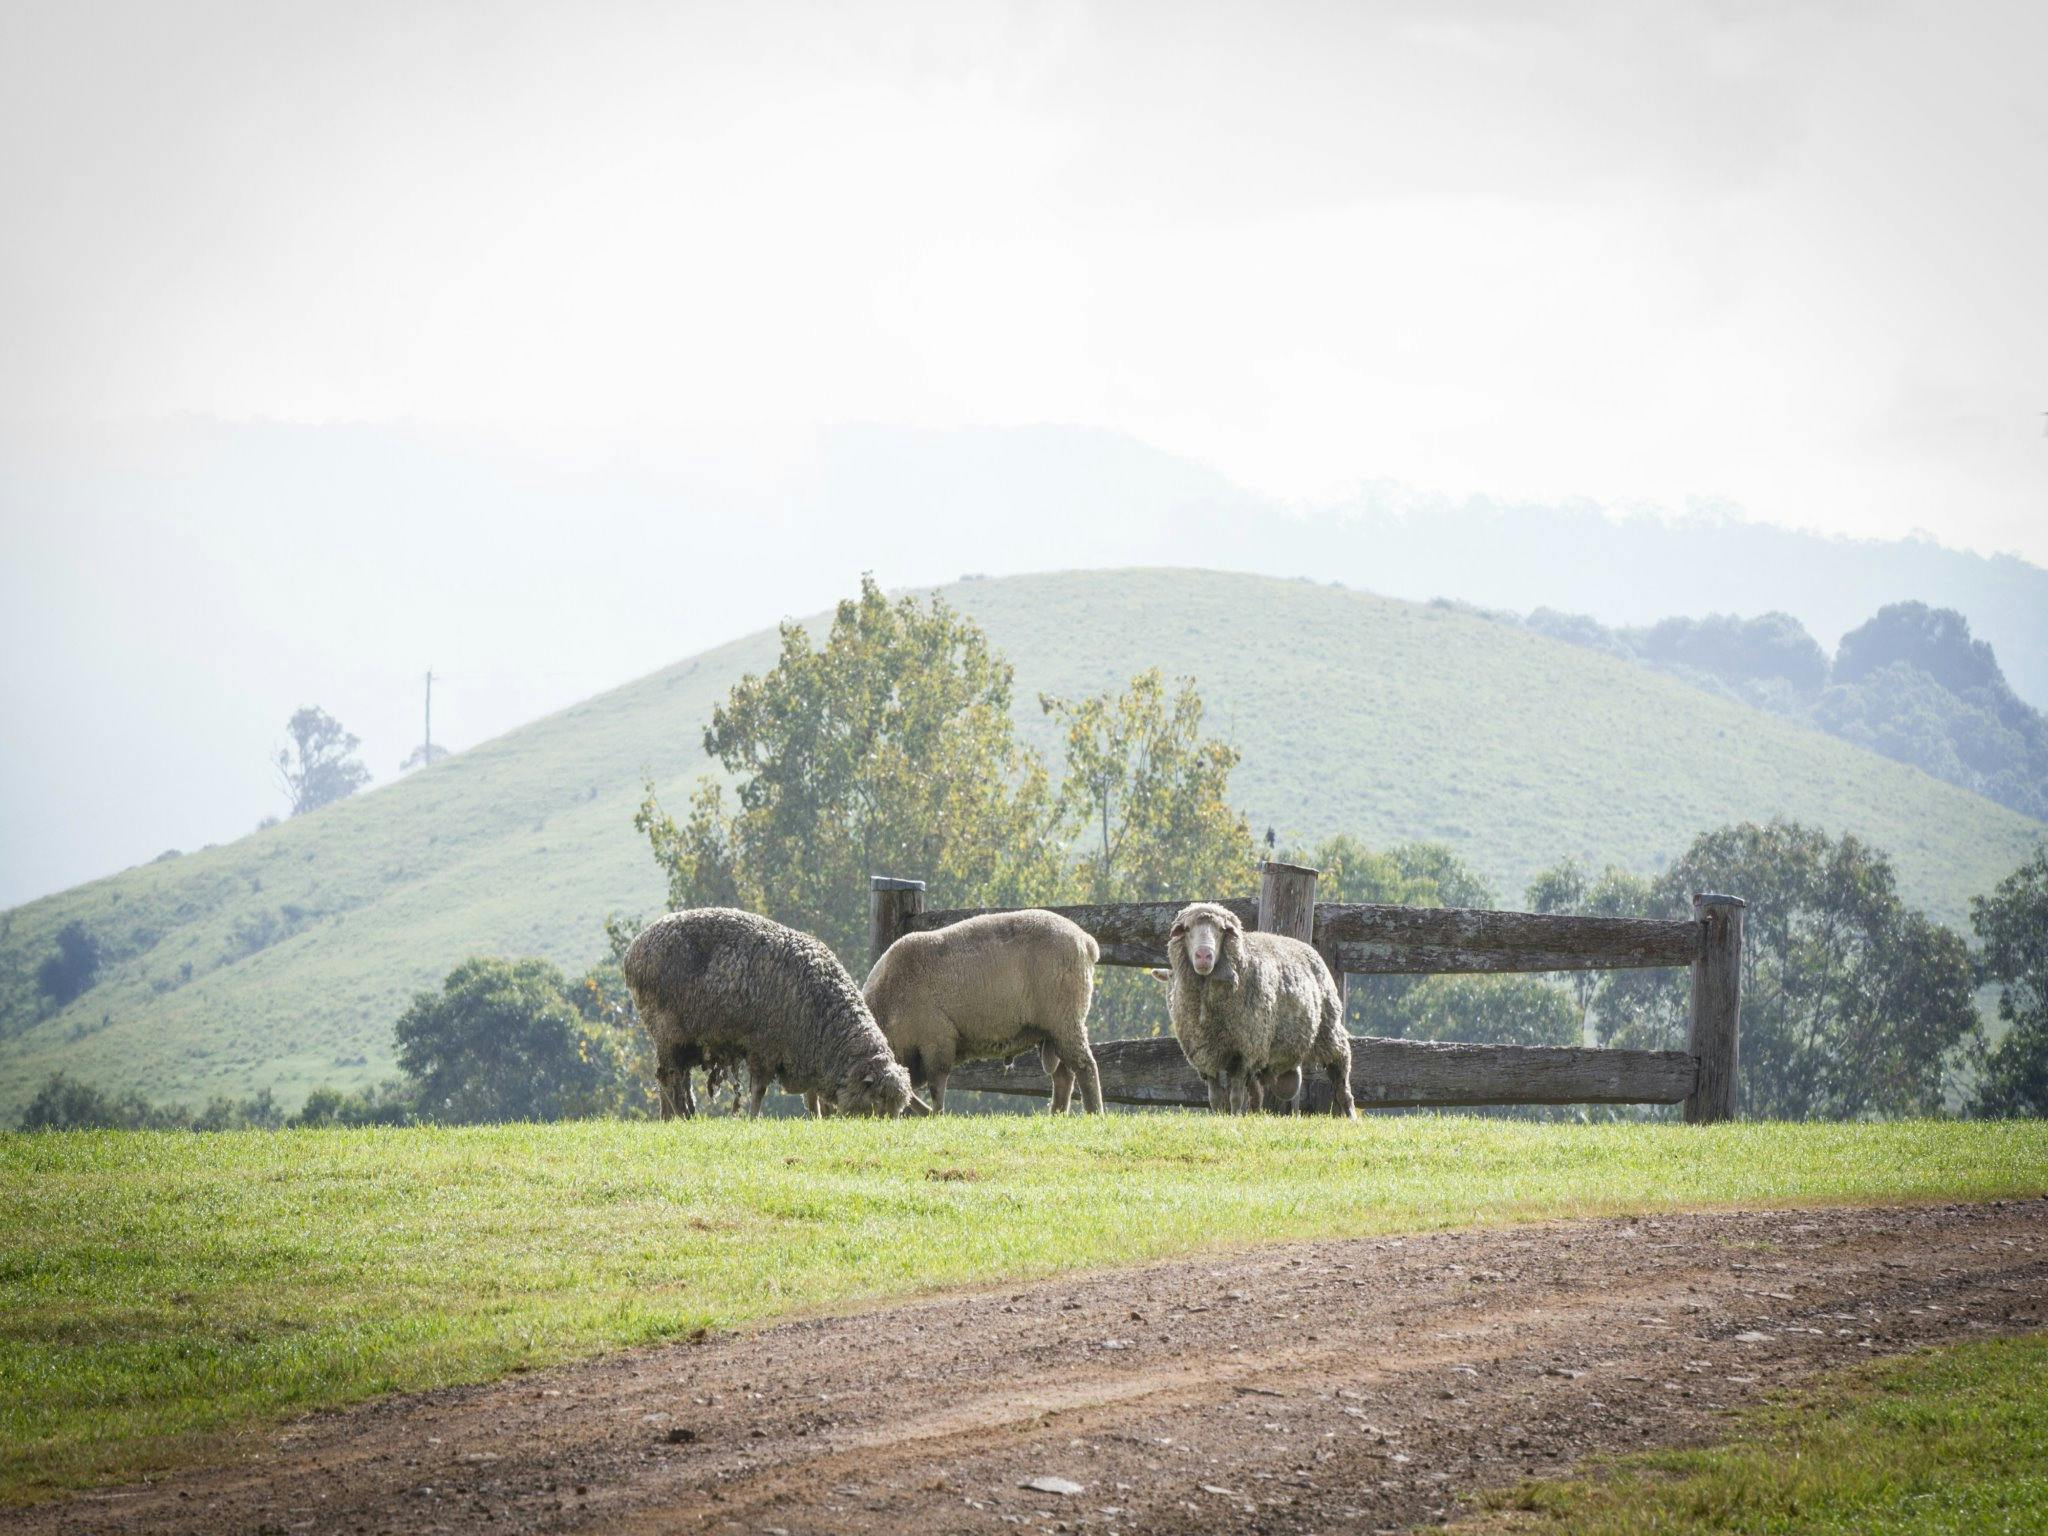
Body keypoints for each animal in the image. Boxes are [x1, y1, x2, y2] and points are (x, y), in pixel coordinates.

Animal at [623, 907, 918, 1118]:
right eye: (877, 1102)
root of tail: (633, 950)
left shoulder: (806, 1054)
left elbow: (811, 1096)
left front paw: (817, 1119)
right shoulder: (764, 1047)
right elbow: (759, 1090)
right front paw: (753, 1118)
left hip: (681, 1041)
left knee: (674, 1079)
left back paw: (675, 1116)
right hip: (668, 1032)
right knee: (669, 1076)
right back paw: (682, 1116)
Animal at [863, 908, 1104, 1113]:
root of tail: (1086, 940)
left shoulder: (937, 1042)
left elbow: (936, 1086)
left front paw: (936, 1115)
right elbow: (914, 1092)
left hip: (1066, 1022)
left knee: (1085, 1067)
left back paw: (1094, 1113)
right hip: (1051, 1032)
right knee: (1063, 1076)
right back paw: (1056, 1115)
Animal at [1163, 901, 1356, 1117]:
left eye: (1221, 930)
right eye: (1187, 929)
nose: (1204, 955)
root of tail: (1305, 946)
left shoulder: (1245, 1051)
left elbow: (1236, 1095)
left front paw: (1235, 1116)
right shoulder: (1205, 1055)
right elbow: (1215, 1097)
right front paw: (1220, 1116)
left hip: (1328, 1030)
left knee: (1340, 1075)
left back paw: (1350, 1115)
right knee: (1258, 1092)